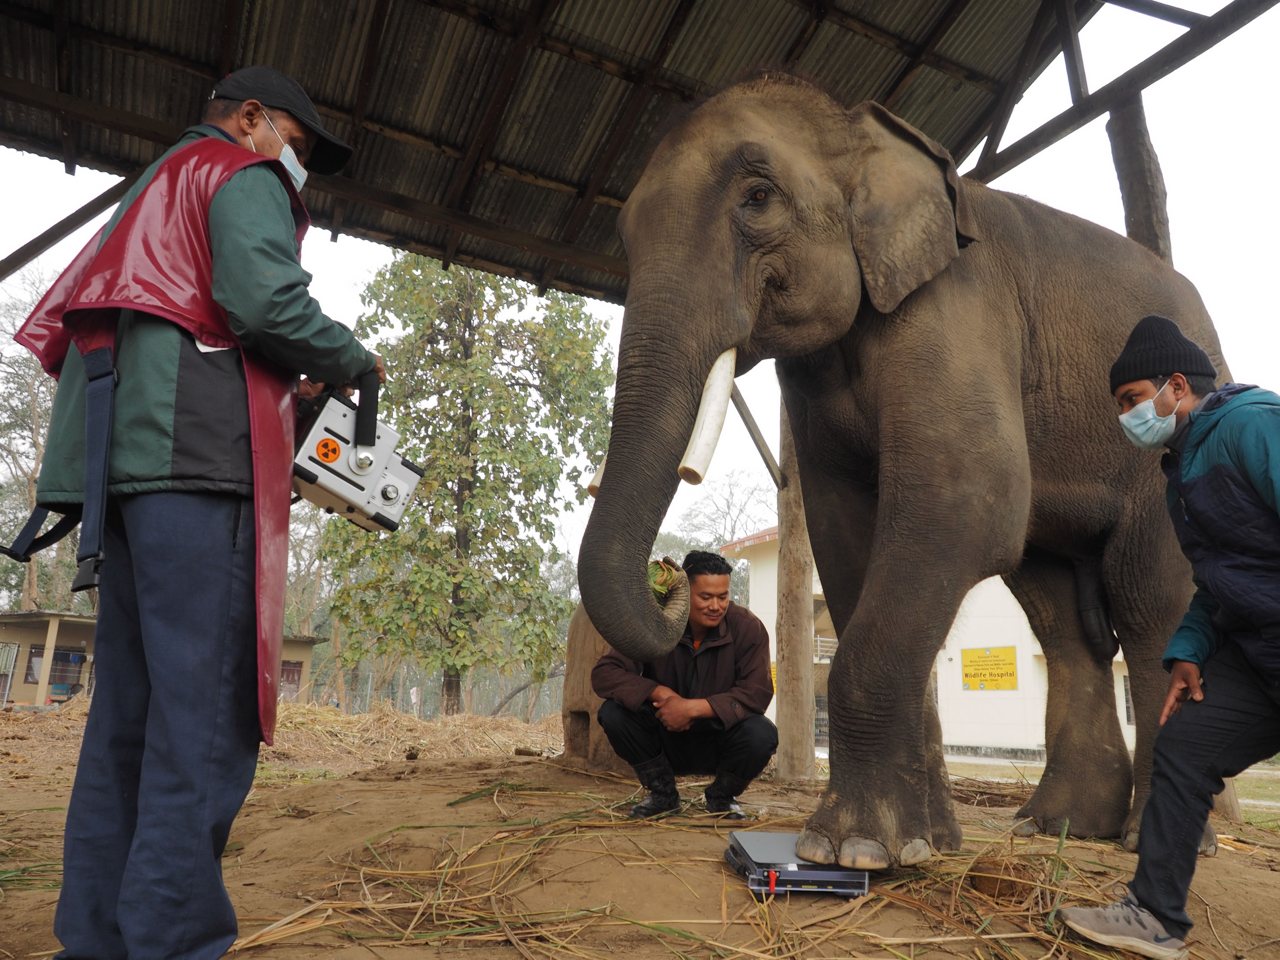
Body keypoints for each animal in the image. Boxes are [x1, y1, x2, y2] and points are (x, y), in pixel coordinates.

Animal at [577, 70, 1228, 870]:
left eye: (757, 197)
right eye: (624, 235)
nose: (672, 581)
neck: (865, 132)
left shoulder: (958, 309)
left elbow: (969, 500)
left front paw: (846, 849)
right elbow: (846, 532)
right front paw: (923, 845)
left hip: (1174, 455)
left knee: (1147, 604)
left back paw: (1152, 842)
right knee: (1057, 615)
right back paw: (1060, 826)